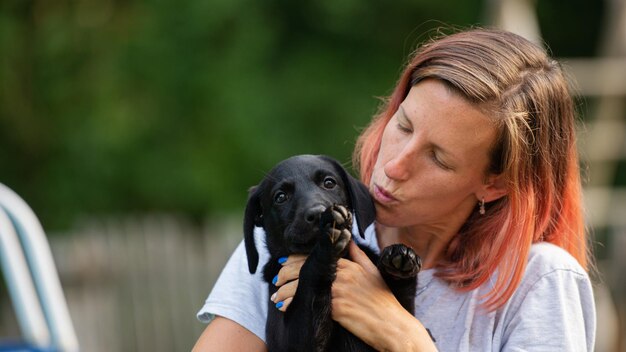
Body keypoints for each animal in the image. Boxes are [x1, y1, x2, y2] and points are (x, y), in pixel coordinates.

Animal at [244, 156, 420, 352]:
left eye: (329, 182)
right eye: (280, 197)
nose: (318, 214)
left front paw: (399, 259)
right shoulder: (288, 340)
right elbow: (310, 273)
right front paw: (328, 239)